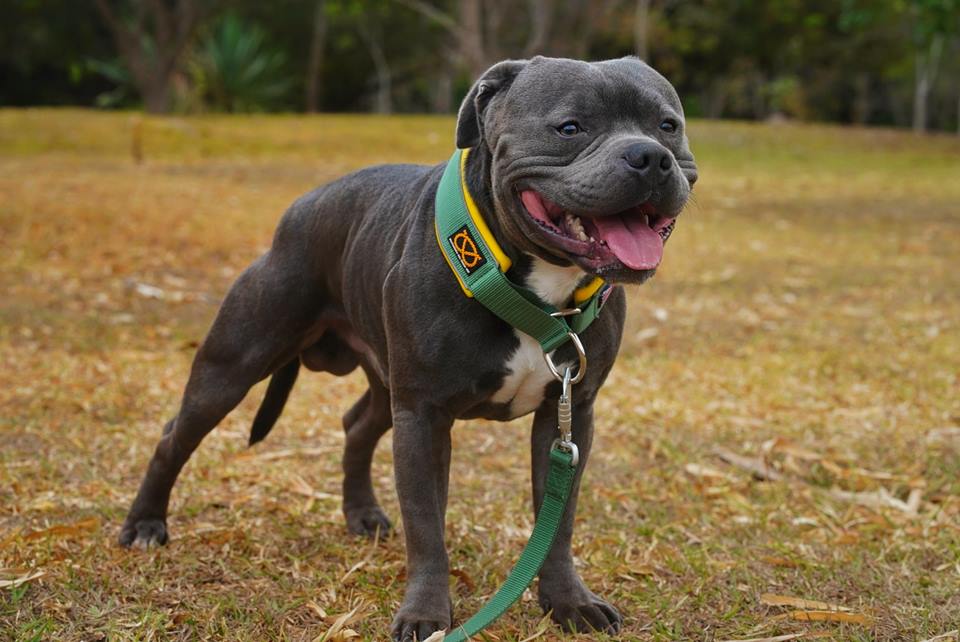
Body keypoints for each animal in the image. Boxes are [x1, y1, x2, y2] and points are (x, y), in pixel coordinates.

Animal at [120, 57, 696, 636]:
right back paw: (145, 524)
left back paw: (361, 513)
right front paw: (426, 614)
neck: (534, 289)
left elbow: (558, 522)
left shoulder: (569, 413)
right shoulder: (423, 416)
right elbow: (426, 527)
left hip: (384, 382)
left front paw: (569, 602)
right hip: (235, 364)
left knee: (357, 424)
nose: (650, 156)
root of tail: (303, 207)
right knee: (175, 435)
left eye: (668, 126)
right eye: (570, 127)